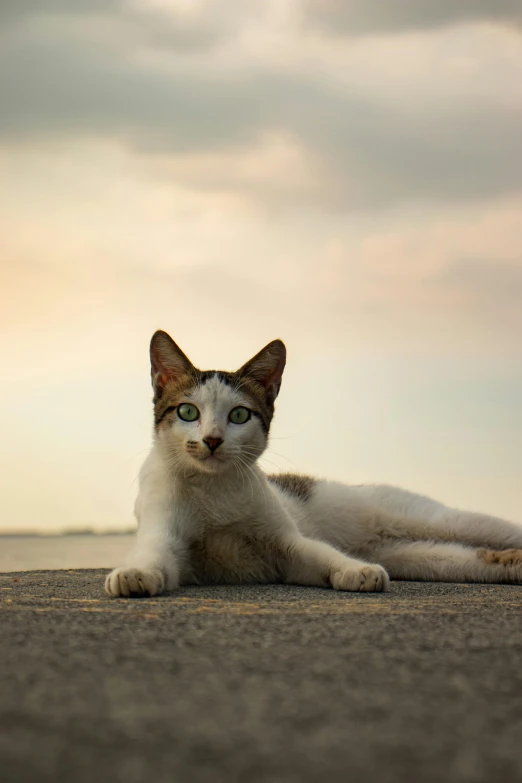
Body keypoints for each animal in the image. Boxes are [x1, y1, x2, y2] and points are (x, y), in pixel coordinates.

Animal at [103, 332, 520, 600]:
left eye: (239, 415)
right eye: (188, 412)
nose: (212, 439)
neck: (213, 489)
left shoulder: (287, 544)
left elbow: (322, 553)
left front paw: (357, 570)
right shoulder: (167, 538)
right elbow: (155, 556)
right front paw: (133, 575)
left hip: (443, 520)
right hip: (421, 557)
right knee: (477, 557)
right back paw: (511, 565)